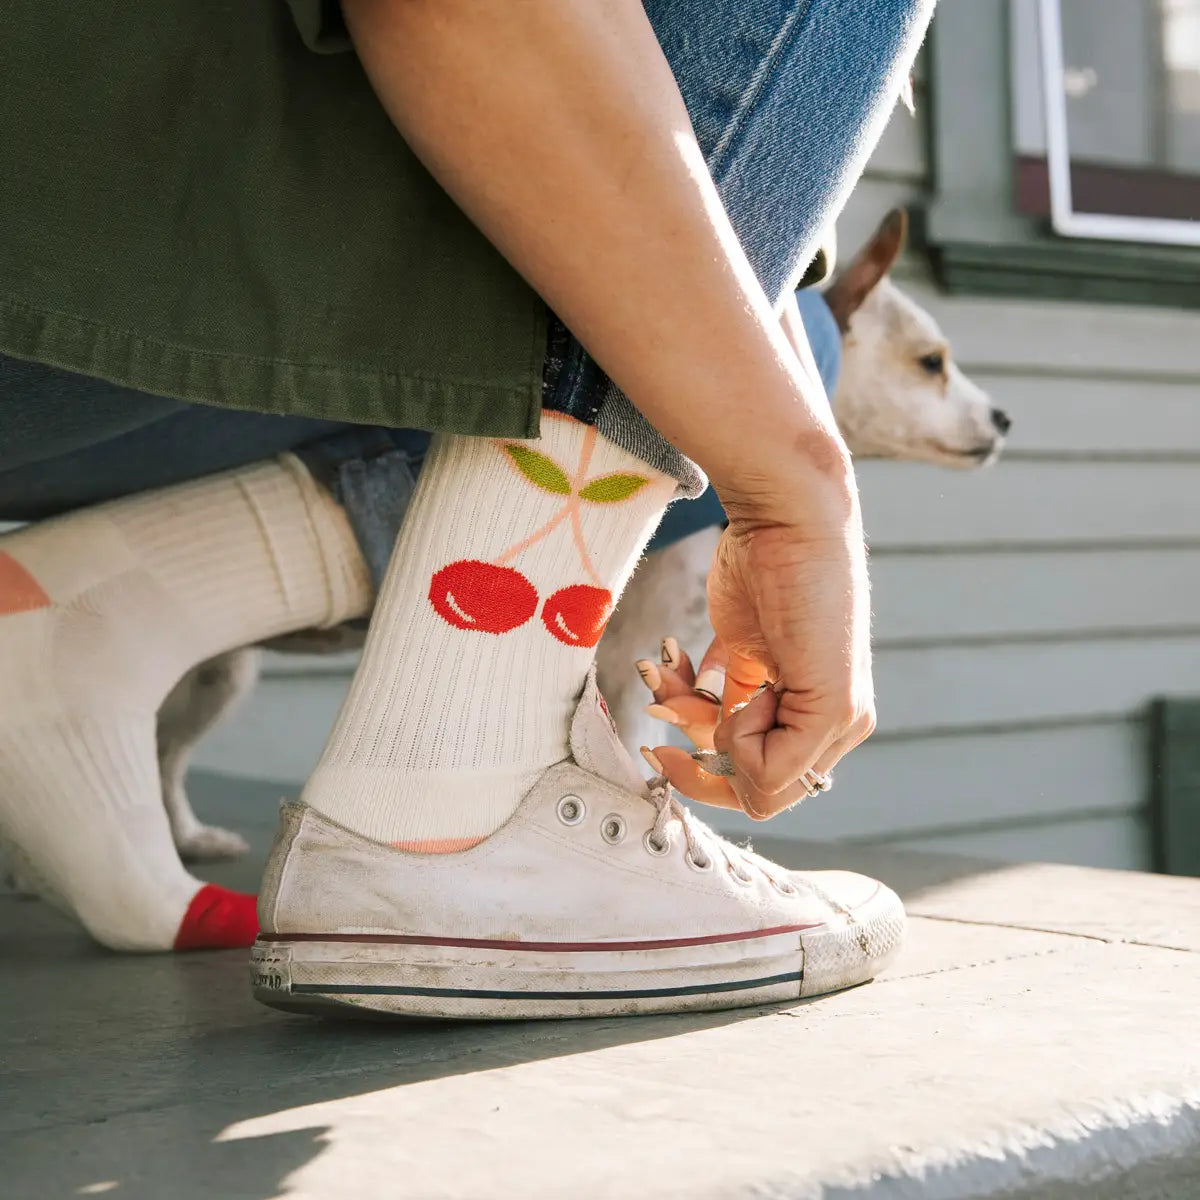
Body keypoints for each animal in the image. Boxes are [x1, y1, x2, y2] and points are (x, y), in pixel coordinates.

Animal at [154, 208, 1008, 864]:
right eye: (932, 363)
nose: (1004, 418)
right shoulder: (637, 642)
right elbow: (632, 737)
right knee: (155, 752)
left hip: (214, 676)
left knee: (160, 753)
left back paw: (187, 839)